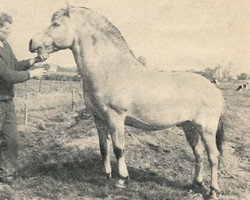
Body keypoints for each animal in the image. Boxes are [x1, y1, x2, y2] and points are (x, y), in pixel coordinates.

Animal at [28, 5, 225, 198]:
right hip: (189, 127)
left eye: (56, 24)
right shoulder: (98, 118)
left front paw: (122, 180)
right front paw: (106, 175)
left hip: (206, 129)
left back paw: (213, 191)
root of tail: (215, 90)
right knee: (198, 154)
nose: (31, 42)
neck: (110, 69)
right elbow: (104, 148)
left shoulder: (116, 118)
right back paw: (195, 185)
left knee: (213, 156)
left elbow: (118, 148)